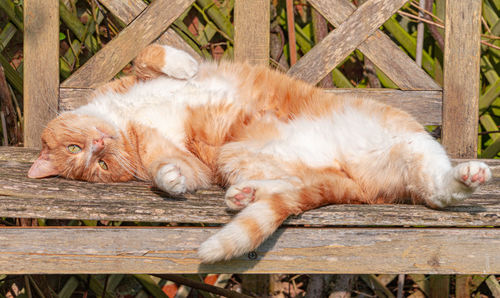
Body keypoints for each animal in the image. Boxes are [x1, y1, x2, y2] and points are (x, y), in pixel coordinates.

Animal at [28, 44, 492, 264]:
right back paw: (243, 197)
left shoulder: (134, 77)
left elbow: (151, 54)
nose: (98, 145)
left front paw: (183, 68)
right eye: (97, 164)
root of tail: (352, 181)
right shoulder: (187, 159)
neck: (126, 120)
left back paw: (468, 173)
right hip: (238, 156)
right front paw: (171, 181)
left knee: (437, 187)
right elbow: (172, 170)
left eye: (81, 150)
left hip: (407, 140)